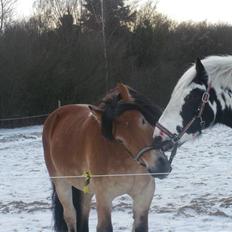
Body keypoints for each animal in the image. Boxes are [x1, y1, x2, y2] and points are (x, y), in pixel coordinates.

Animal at [42, 83, 170, 232]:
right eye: (120, 140)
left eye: (142, 121)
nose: (160, 166)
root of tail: (54, 116)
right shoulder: (104, 197)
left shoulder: (143, 196)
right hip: (61, 184)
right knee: (70, 216)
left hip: (85, 190)